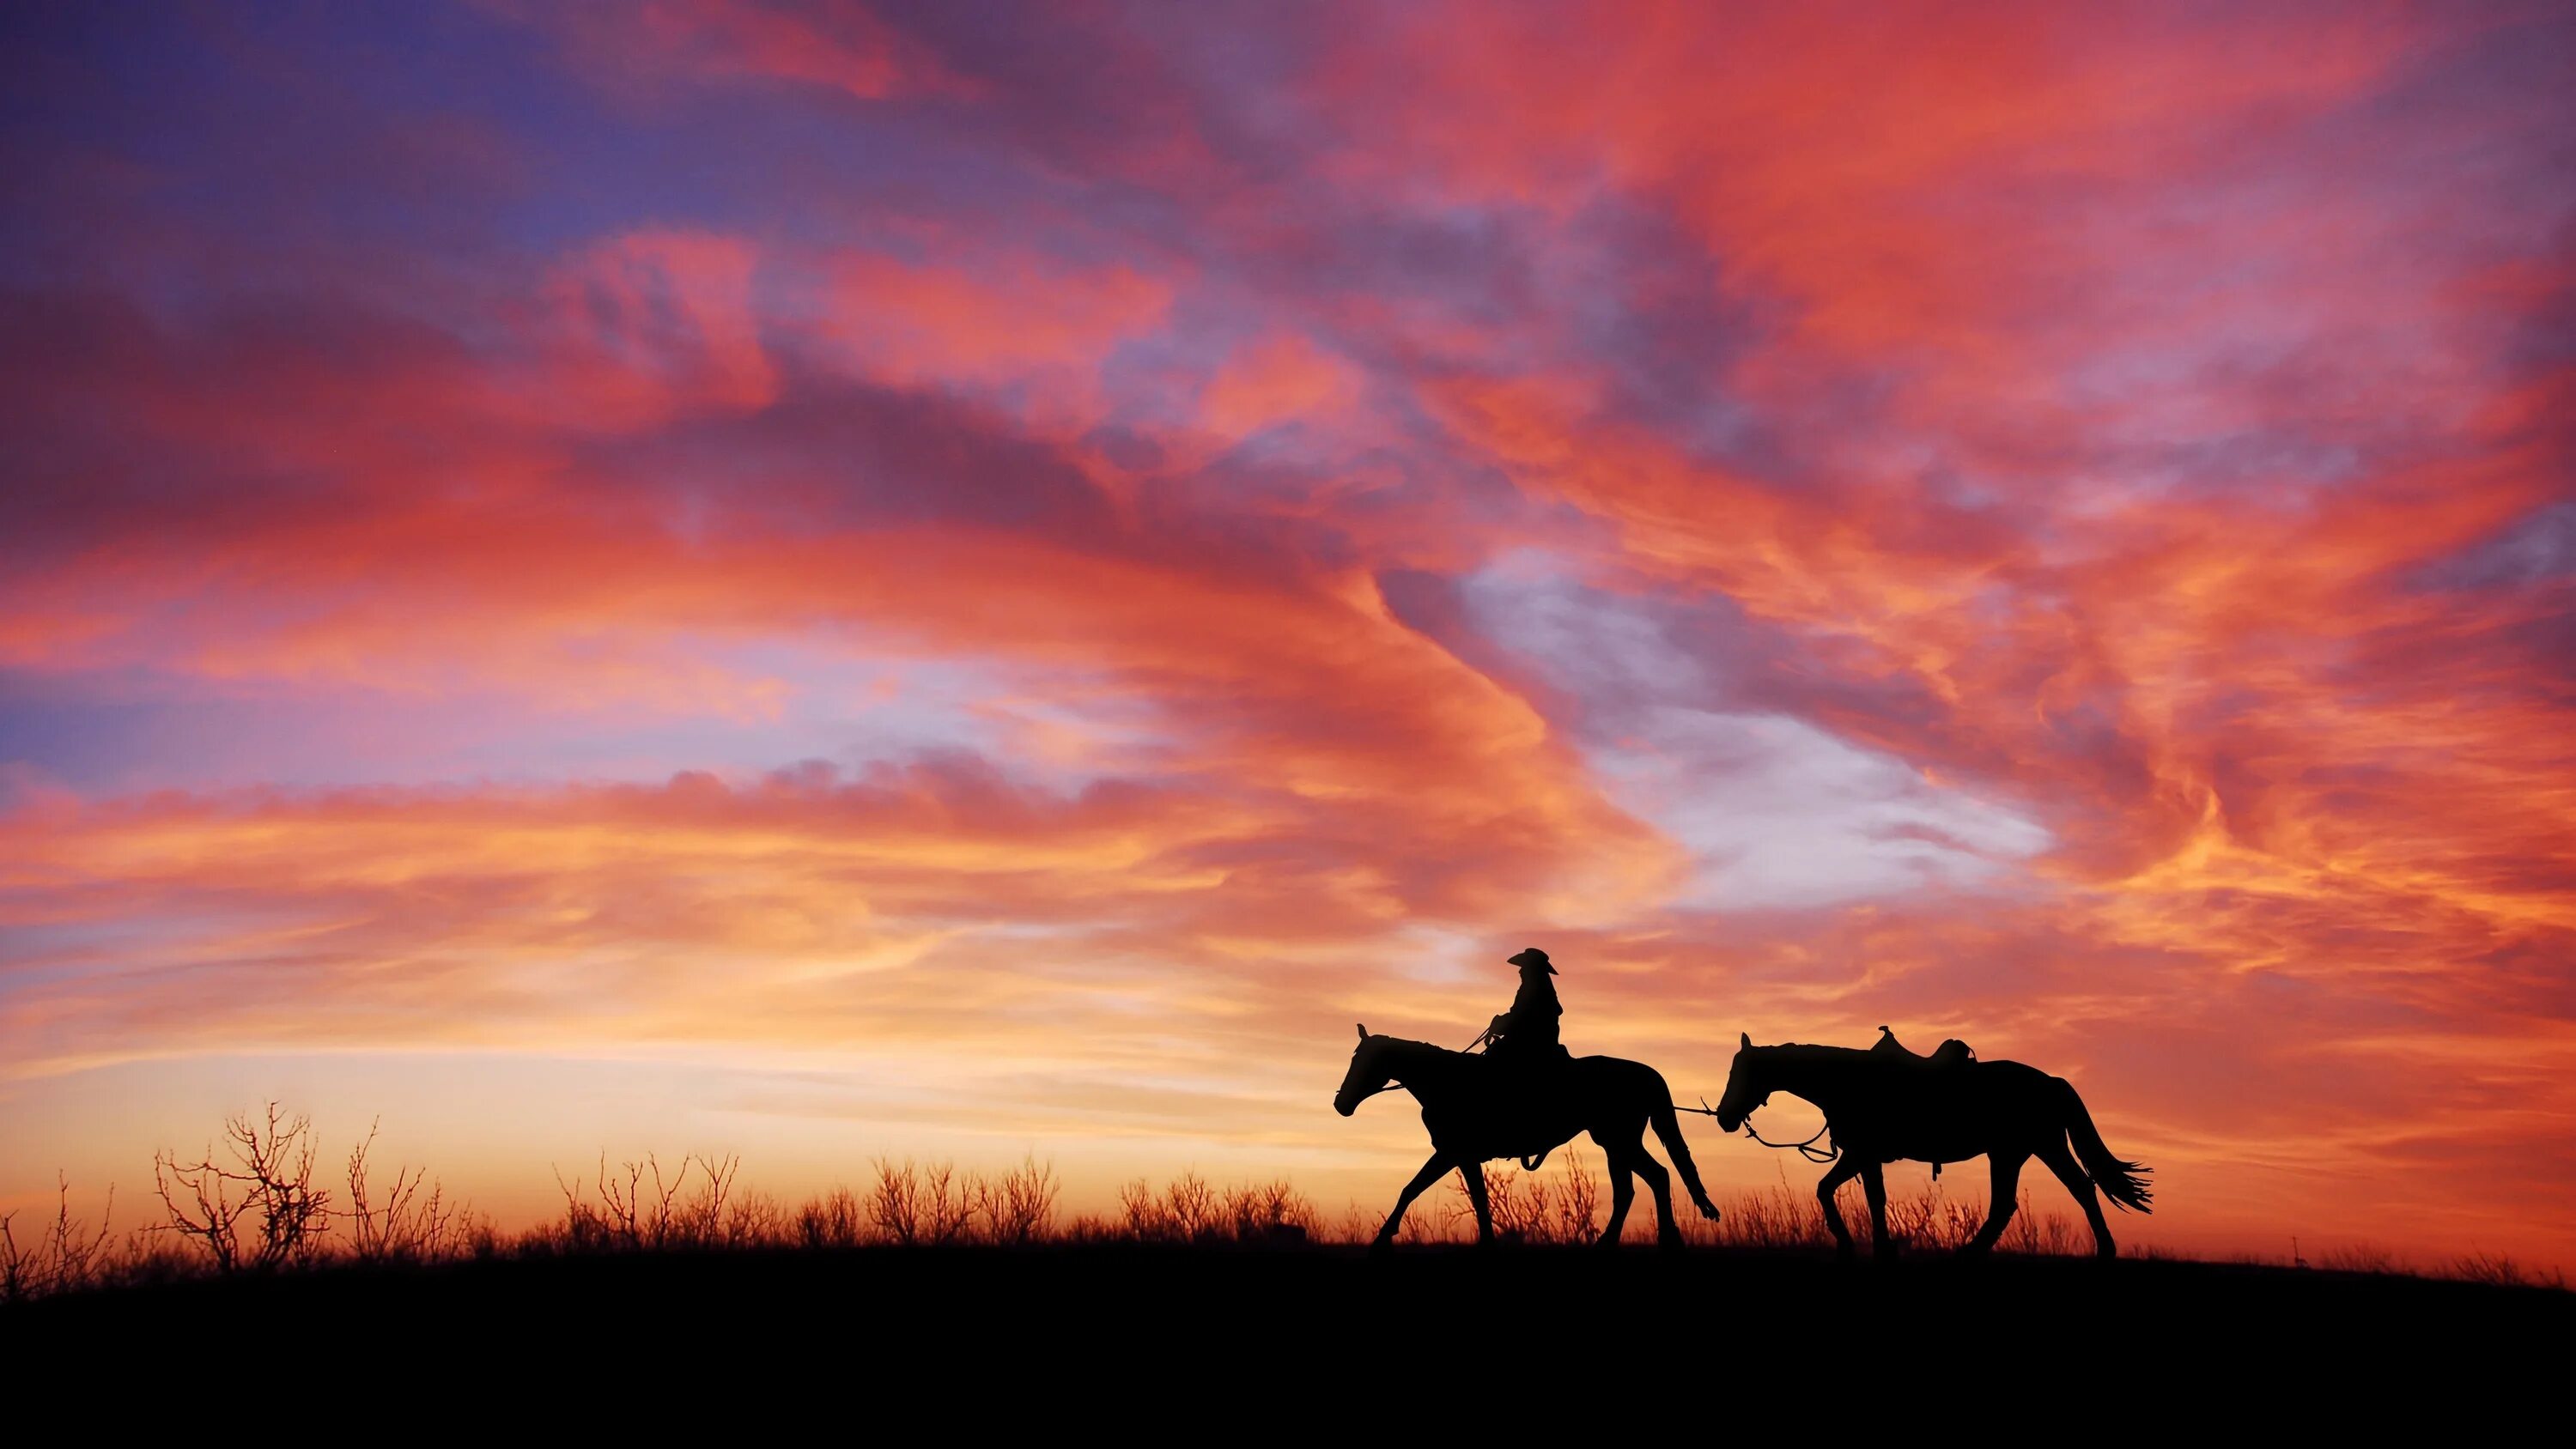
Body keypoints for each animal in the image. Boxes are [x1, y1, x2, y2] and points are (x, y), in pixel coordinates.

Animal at [1340, 1024, 1721, 1251]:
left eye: (1363, 1060)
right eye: (1354, 1057)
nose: (1340, 1104)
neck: (1445, 1082)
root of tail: (1646, 1073)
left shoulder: (1454, 1153)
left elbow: (1415, 1190)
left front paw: (1382, 1238)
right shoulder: (1461, 1156)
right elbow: (1471, 1199)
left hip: (1618, 1141)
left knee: (1655, 1177)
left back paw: (1663, 1241)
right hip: (1616, 1144)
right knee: (1638, 1185)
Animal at [1710, 1029, 2154, 1261]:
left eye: (1740, 1072)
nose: (1724, 1118)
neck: (1848, 1082)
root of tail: (2052, 1082)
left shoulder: (1863, 1154)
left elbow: (1858, 1196)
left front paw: (1865, 1247)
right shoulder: (1863, 1156)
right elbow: (1845, 1193)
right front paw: (1864, 1246)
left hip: (2024, 1150)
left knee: (2056, 1195)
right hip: (2022, 1151)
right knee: (2038, 1198)